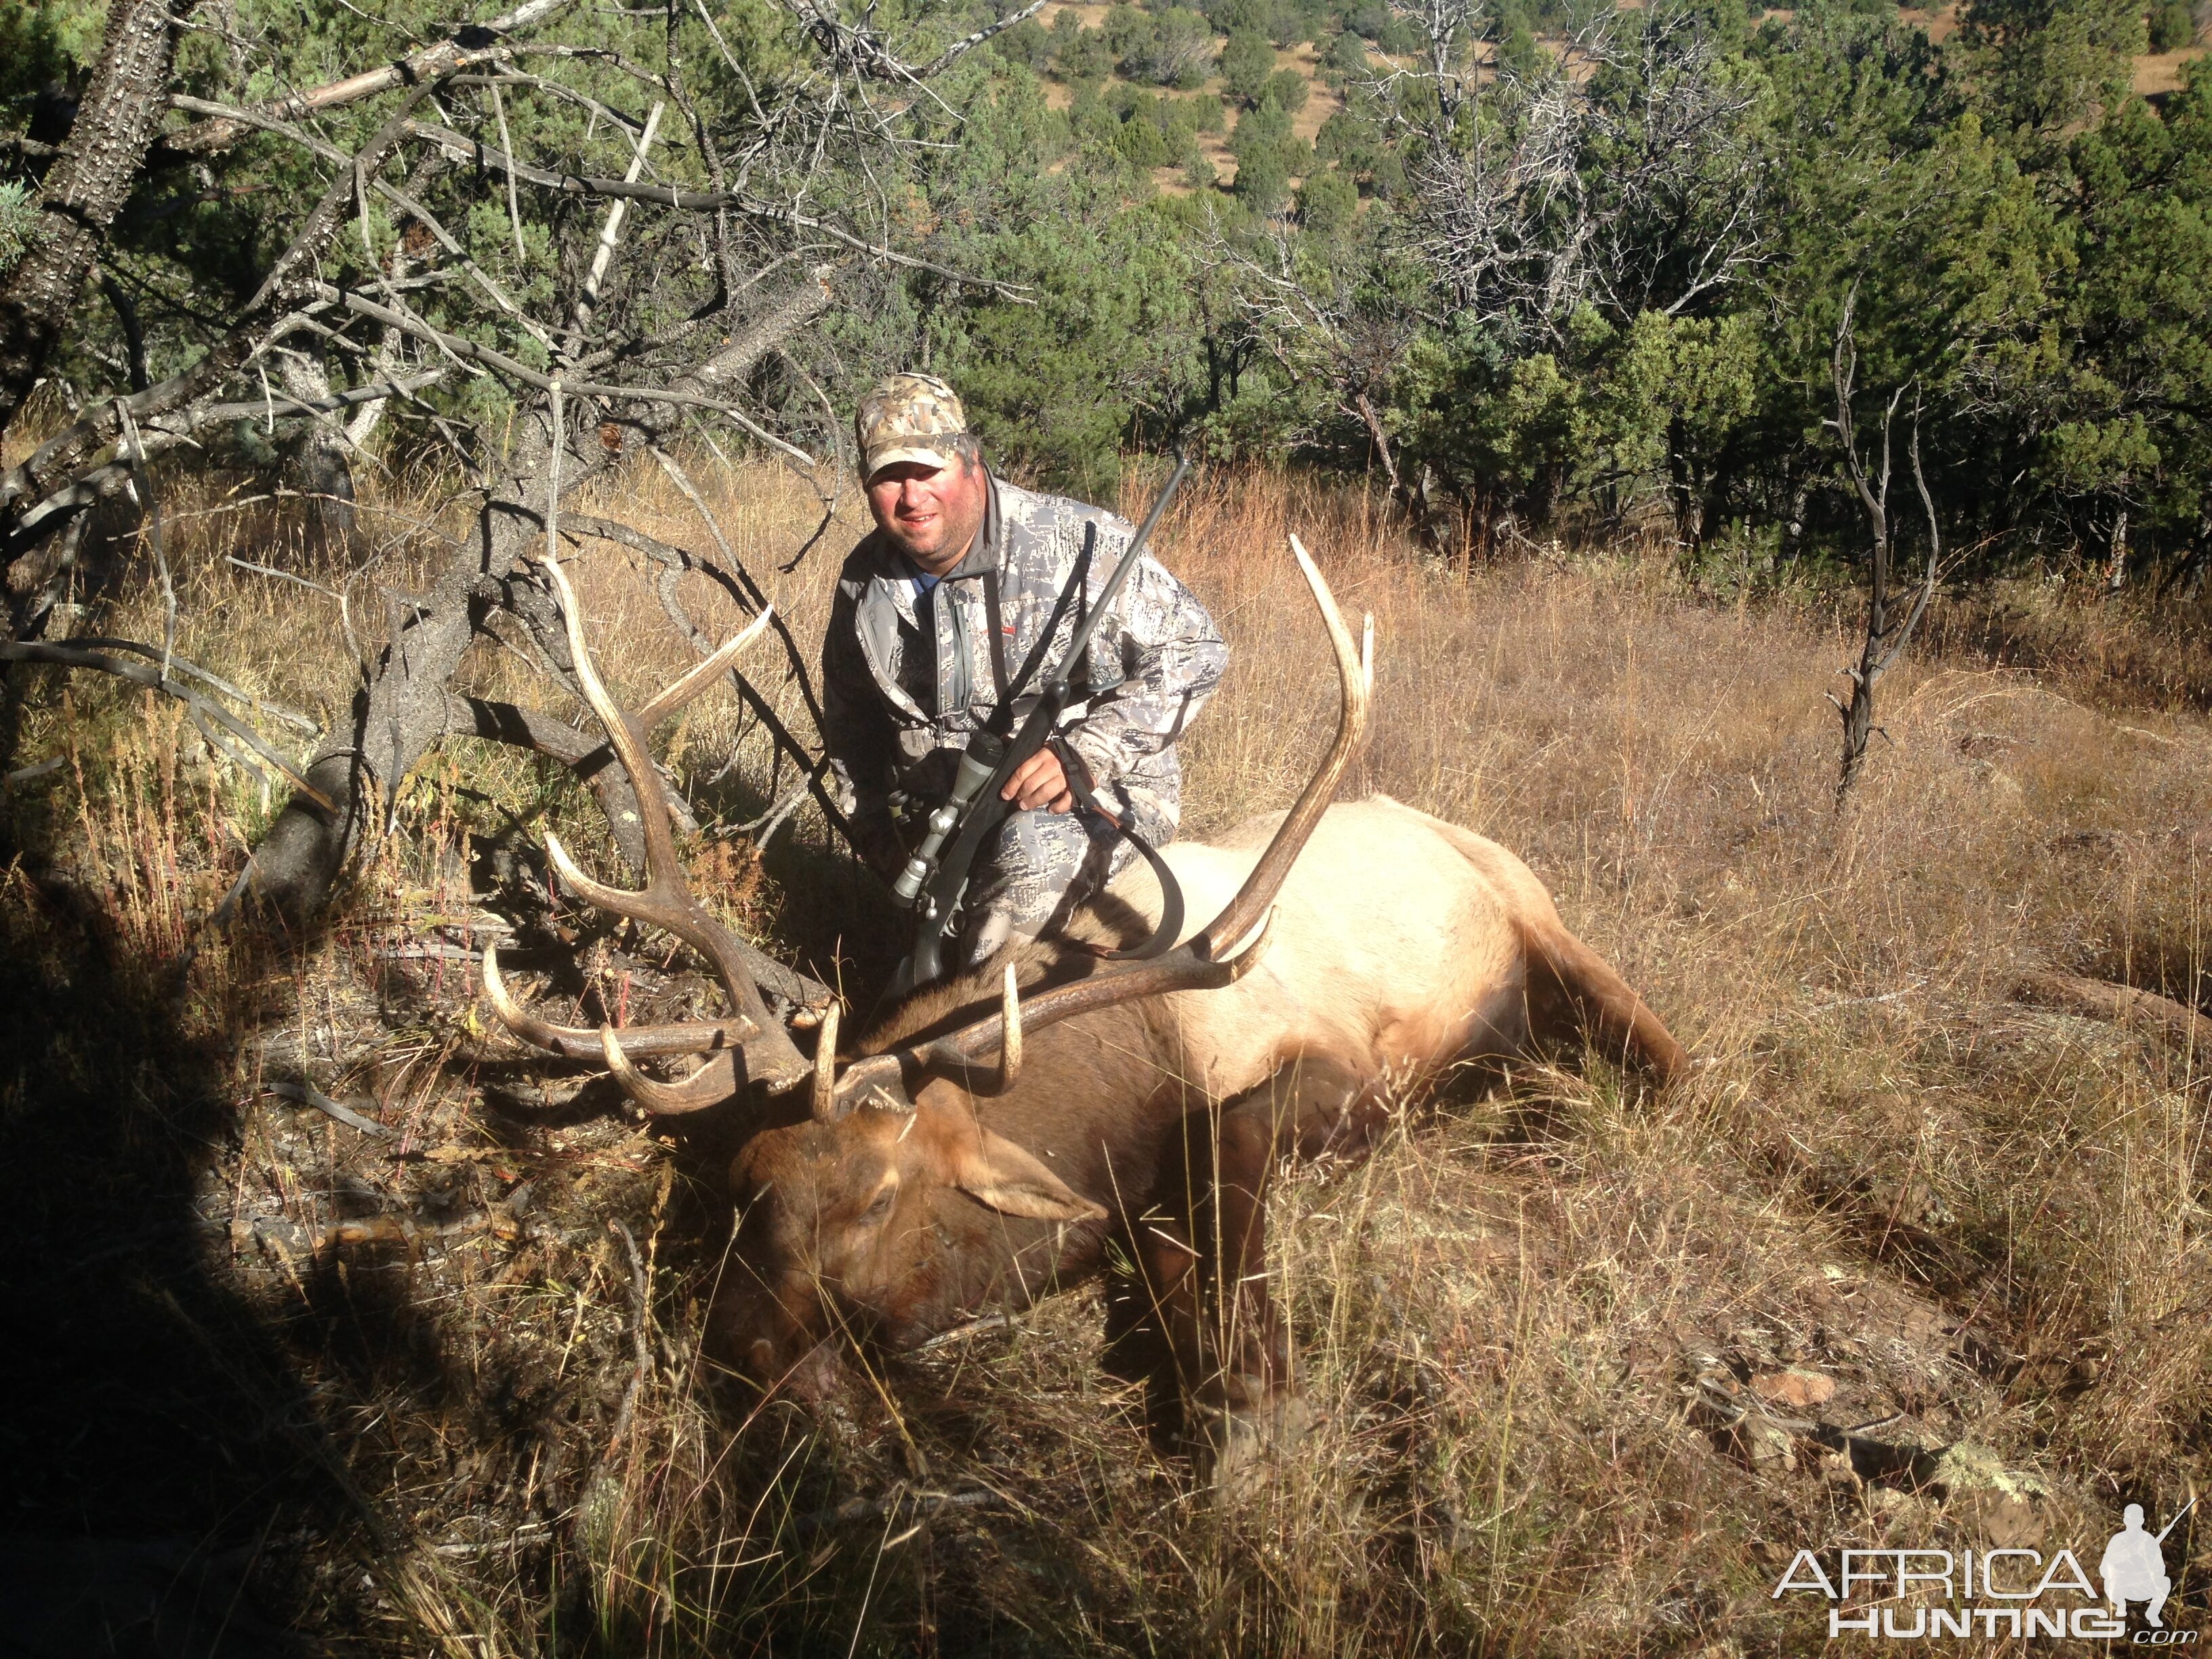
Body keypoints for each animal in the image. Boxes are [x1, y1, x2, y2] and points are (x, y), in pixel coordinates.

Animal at [489, 539, 1689, 1477]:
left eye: (876, 1200)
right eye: (745, 1188)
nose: (743, 1356)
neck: (1120, 1081)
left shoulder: (1331, 1066)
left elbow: (1228, 1154)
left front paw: (1256, 1403)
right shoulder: (1128, 1196)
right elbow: (1165, 1254)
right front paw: (1225, 1388)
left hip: (1543, 914)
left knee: (1658, 1054)